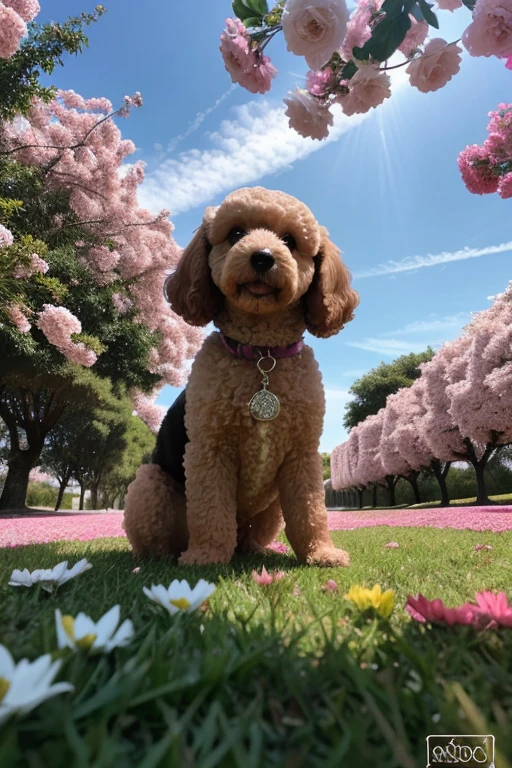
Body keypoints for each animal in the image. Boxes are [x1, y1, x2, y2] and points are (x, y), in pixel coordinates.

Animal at [124, 186, 358, 568]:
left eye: (290, 240)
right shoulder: (209, 449)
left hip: (271, 507)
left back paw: (256, 550)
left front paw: (321, 552)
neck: (262, 355)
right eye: (235, 233)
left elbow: (311, 512)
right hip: (148, 481)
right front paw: (206, 556)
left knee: (252, 537)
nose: (262, 257)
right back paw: (163, 559)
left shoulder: (302, 455)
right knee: (159, 542)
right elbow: (210, 510)